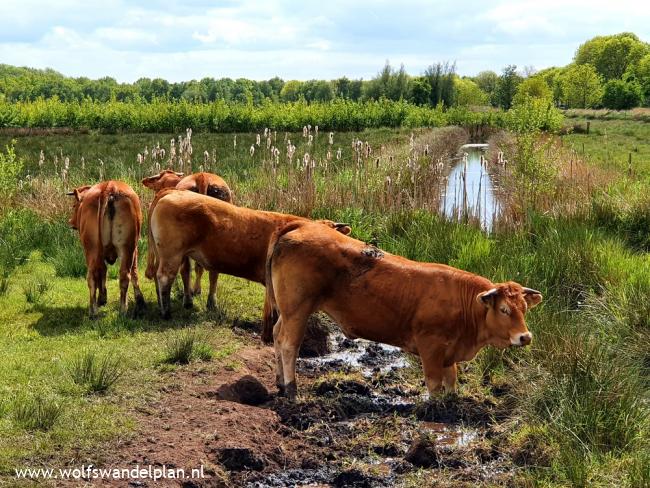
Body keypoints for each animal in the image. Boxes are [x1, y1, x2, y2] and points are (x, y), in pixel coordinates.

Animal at [66, 181, 145, 318]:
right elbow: (134, 271)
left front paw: (102, 298)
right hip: (127, 247)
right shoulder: (134, 249)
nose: (71, 222)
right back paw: (123, 309)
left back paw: (93, 311)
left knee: (92, 276)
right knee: (125, 275)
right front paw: (140, 301)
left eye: (74, 205)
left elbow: (103, 271)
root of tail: (110, 186)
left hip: (92, 249)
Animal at [142, 171, 233, 308]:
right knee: (212, 271)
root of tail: (202, 177)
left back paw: (188, 299)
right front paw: (197, 290)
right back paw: (211, 301)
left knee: (185, 269)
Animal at [264, 221, 540, 400]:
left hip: (288, 312)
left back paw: (280, 382)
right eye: (504, 310)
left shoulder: (449, 352)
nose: (525, 337)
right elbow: (434, 384)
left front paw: (453, 403)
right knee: (289, 344)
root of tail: (298, 226)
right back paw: (291, 389)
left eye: (525, 309)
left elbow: (451, 380)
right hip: (297, 309)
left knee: (277, 335)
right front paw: (437, 407)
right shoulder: (431, 347)